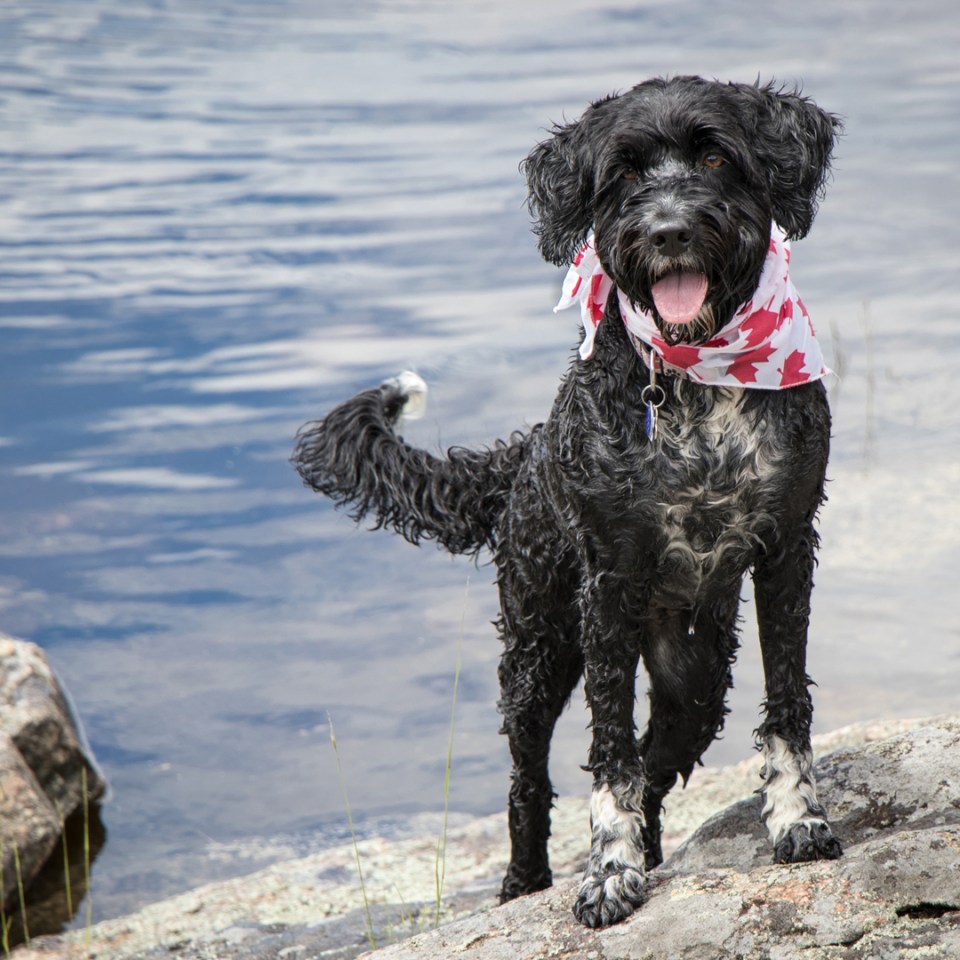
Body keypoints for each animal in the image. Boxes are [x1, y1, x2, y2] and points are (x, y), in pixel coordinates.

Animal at [292, 79, 840, 928]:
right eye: (623, 173)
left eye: (716, 157)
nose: (669, 230)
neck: (696, 378)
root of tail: (523, 454)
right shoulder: (608, 584)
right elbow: (608, 752)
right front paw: (608, 872)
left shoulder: (787, 547)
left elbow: (785, 703)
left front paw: (796, 819)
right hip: (536, 653)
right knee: (529, 782)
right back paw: (526, 881)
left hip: (694, 675)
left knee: (657, 762)